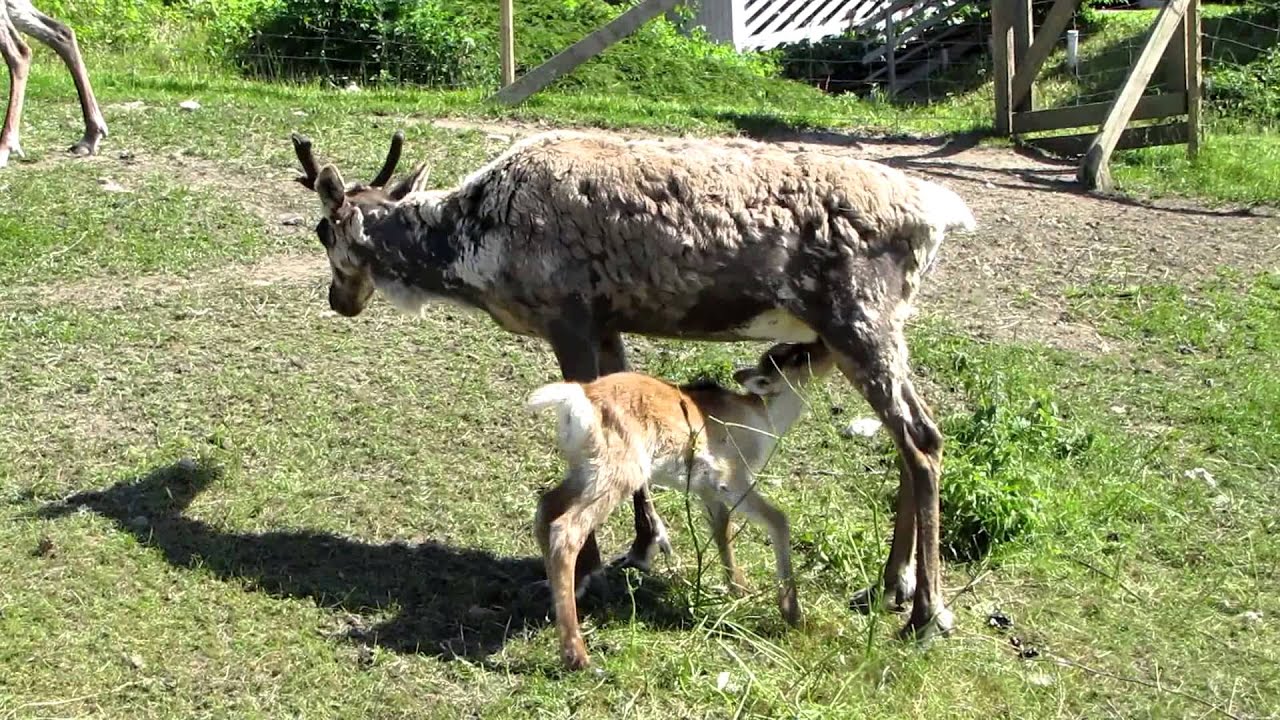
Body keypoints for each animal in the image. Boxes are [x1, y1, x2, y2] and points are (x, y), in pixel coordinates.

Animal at [528, 340, 836, 669]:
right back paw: (578, 656)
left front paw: (739, 589)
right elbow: (779, 519)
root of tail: (579, 397)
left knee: (546, 508)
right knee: (566, 529)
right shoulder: (732, 481)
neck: (761, 420)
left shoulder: (707, 492)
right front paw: (791, 612)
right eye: (798, 356)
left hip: (585, 473)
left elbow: (722, 531)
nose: (824, 346)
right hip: (616, 475)